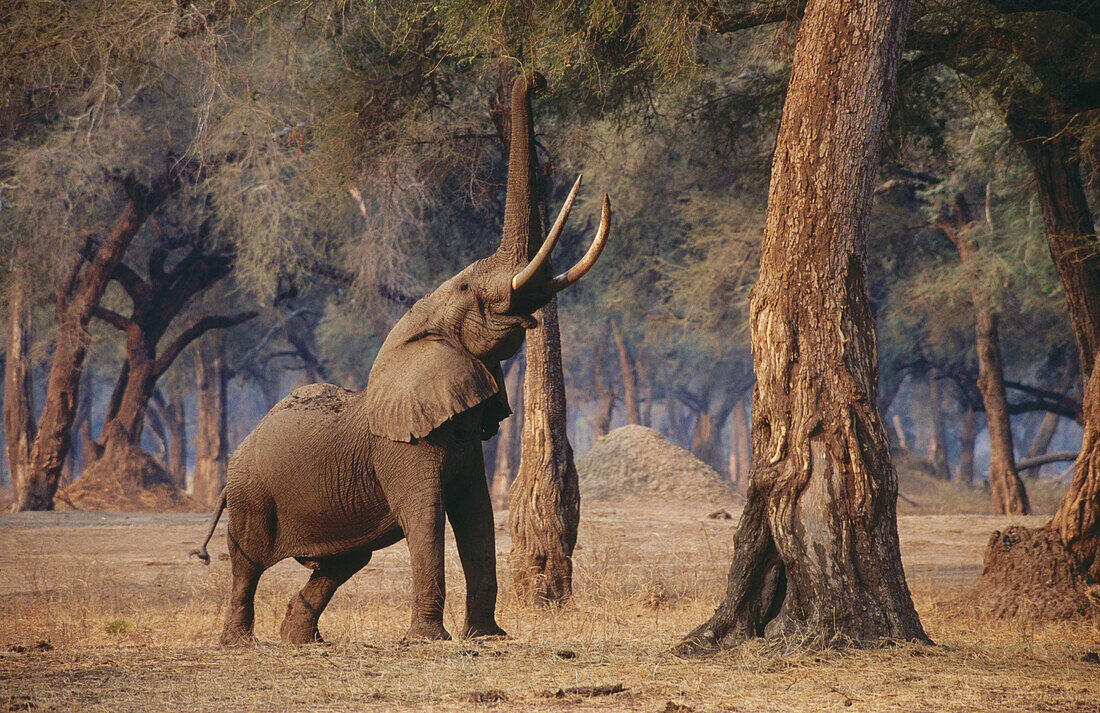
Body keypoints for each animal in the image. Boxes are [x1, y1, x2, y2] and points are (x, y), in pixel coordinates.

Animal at [193, 73, 616, 646]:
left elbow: (477, 515)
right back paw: (240, 642)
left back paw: (302, 640)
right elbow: (427, 516)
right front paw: (429, 640)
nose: (535, 78)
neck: (416, 337)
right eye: (466, 288)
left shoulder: (463, 439)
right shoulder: (401, 448)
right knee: (248, 562)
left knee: (343, 560)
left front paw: (488, 638)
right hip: (250, 492)